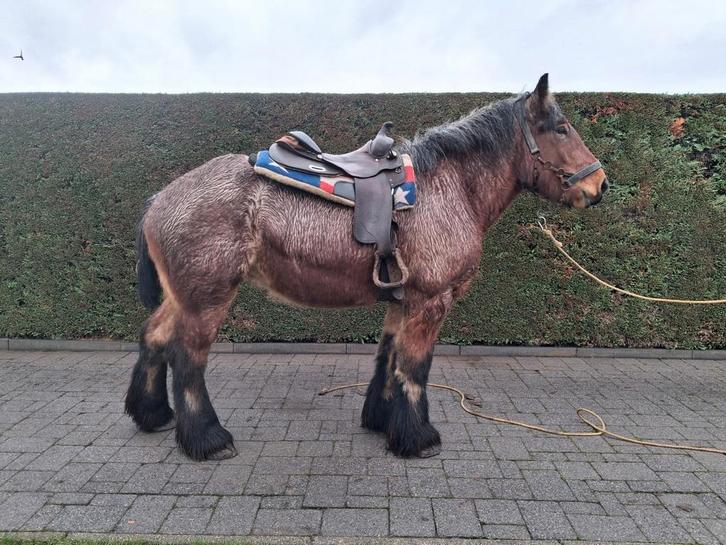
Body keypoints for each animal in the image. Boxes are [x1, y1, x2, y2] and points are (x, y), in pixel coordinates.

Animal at [124, 74, 609, 461]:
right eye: (561, 128)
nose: (600, 185)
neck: (449, 187)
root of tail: (159, 199)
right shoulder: (430, 301)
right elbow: (414, 367)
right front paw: (418, 437)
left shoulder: (403, 299)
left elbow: (389, 358)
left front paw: (382, 420)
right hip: (207, 297)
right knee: (188, 358)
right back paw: (207, 439)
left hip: (182, 294)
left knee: (154, 337)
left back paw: (153, 415)